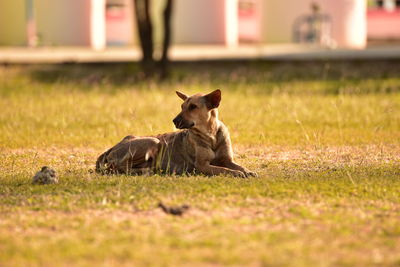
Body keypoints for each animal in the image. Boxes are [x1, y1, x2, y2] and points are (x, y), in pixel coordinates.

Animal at [97, 89, 258, 178]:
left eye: (193, 107)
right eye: (182, 106)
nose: (174, 120)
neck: (210, 135)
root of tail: (112, 148)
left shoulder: (227, 160)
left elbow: (238, 166)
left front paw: (248, 171)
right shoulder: (202, 166)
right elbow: (224, 170)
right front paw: (237, 174)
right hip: (154, 142)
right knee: (116, 167)